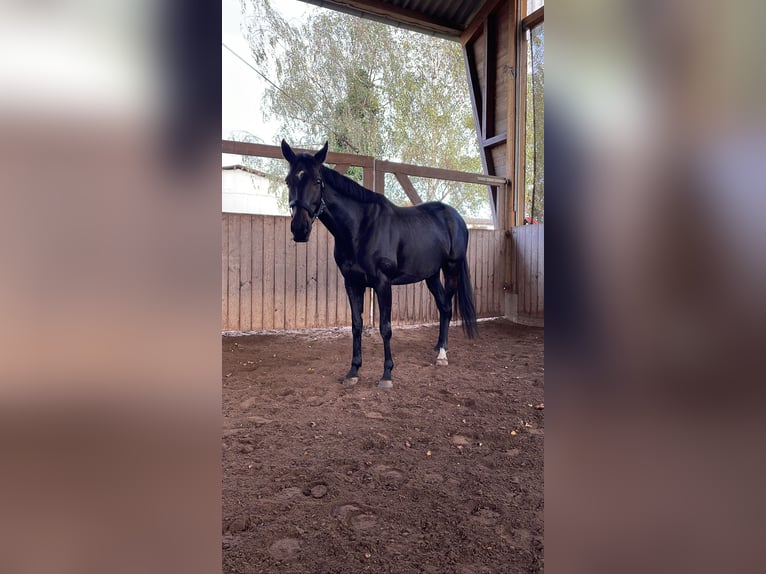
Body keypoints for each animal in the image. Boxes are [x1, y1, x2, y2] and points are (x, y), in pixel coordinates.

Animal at [280, 141, 476, 392]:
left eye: (317, 180)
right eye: (289, 180)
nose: (299, 229)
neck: (361, 228)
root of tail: (456, 218)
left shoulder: (383, 284)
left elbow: (385, 327)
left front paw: (387, 375)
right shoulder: (352, 283)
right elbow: (356, 325)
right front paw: (353, 371)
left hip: (451, 269)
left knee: (448, 308)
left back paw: (442, 354)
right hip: (431, 275)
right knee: (443, 306)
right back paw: (438, 348)